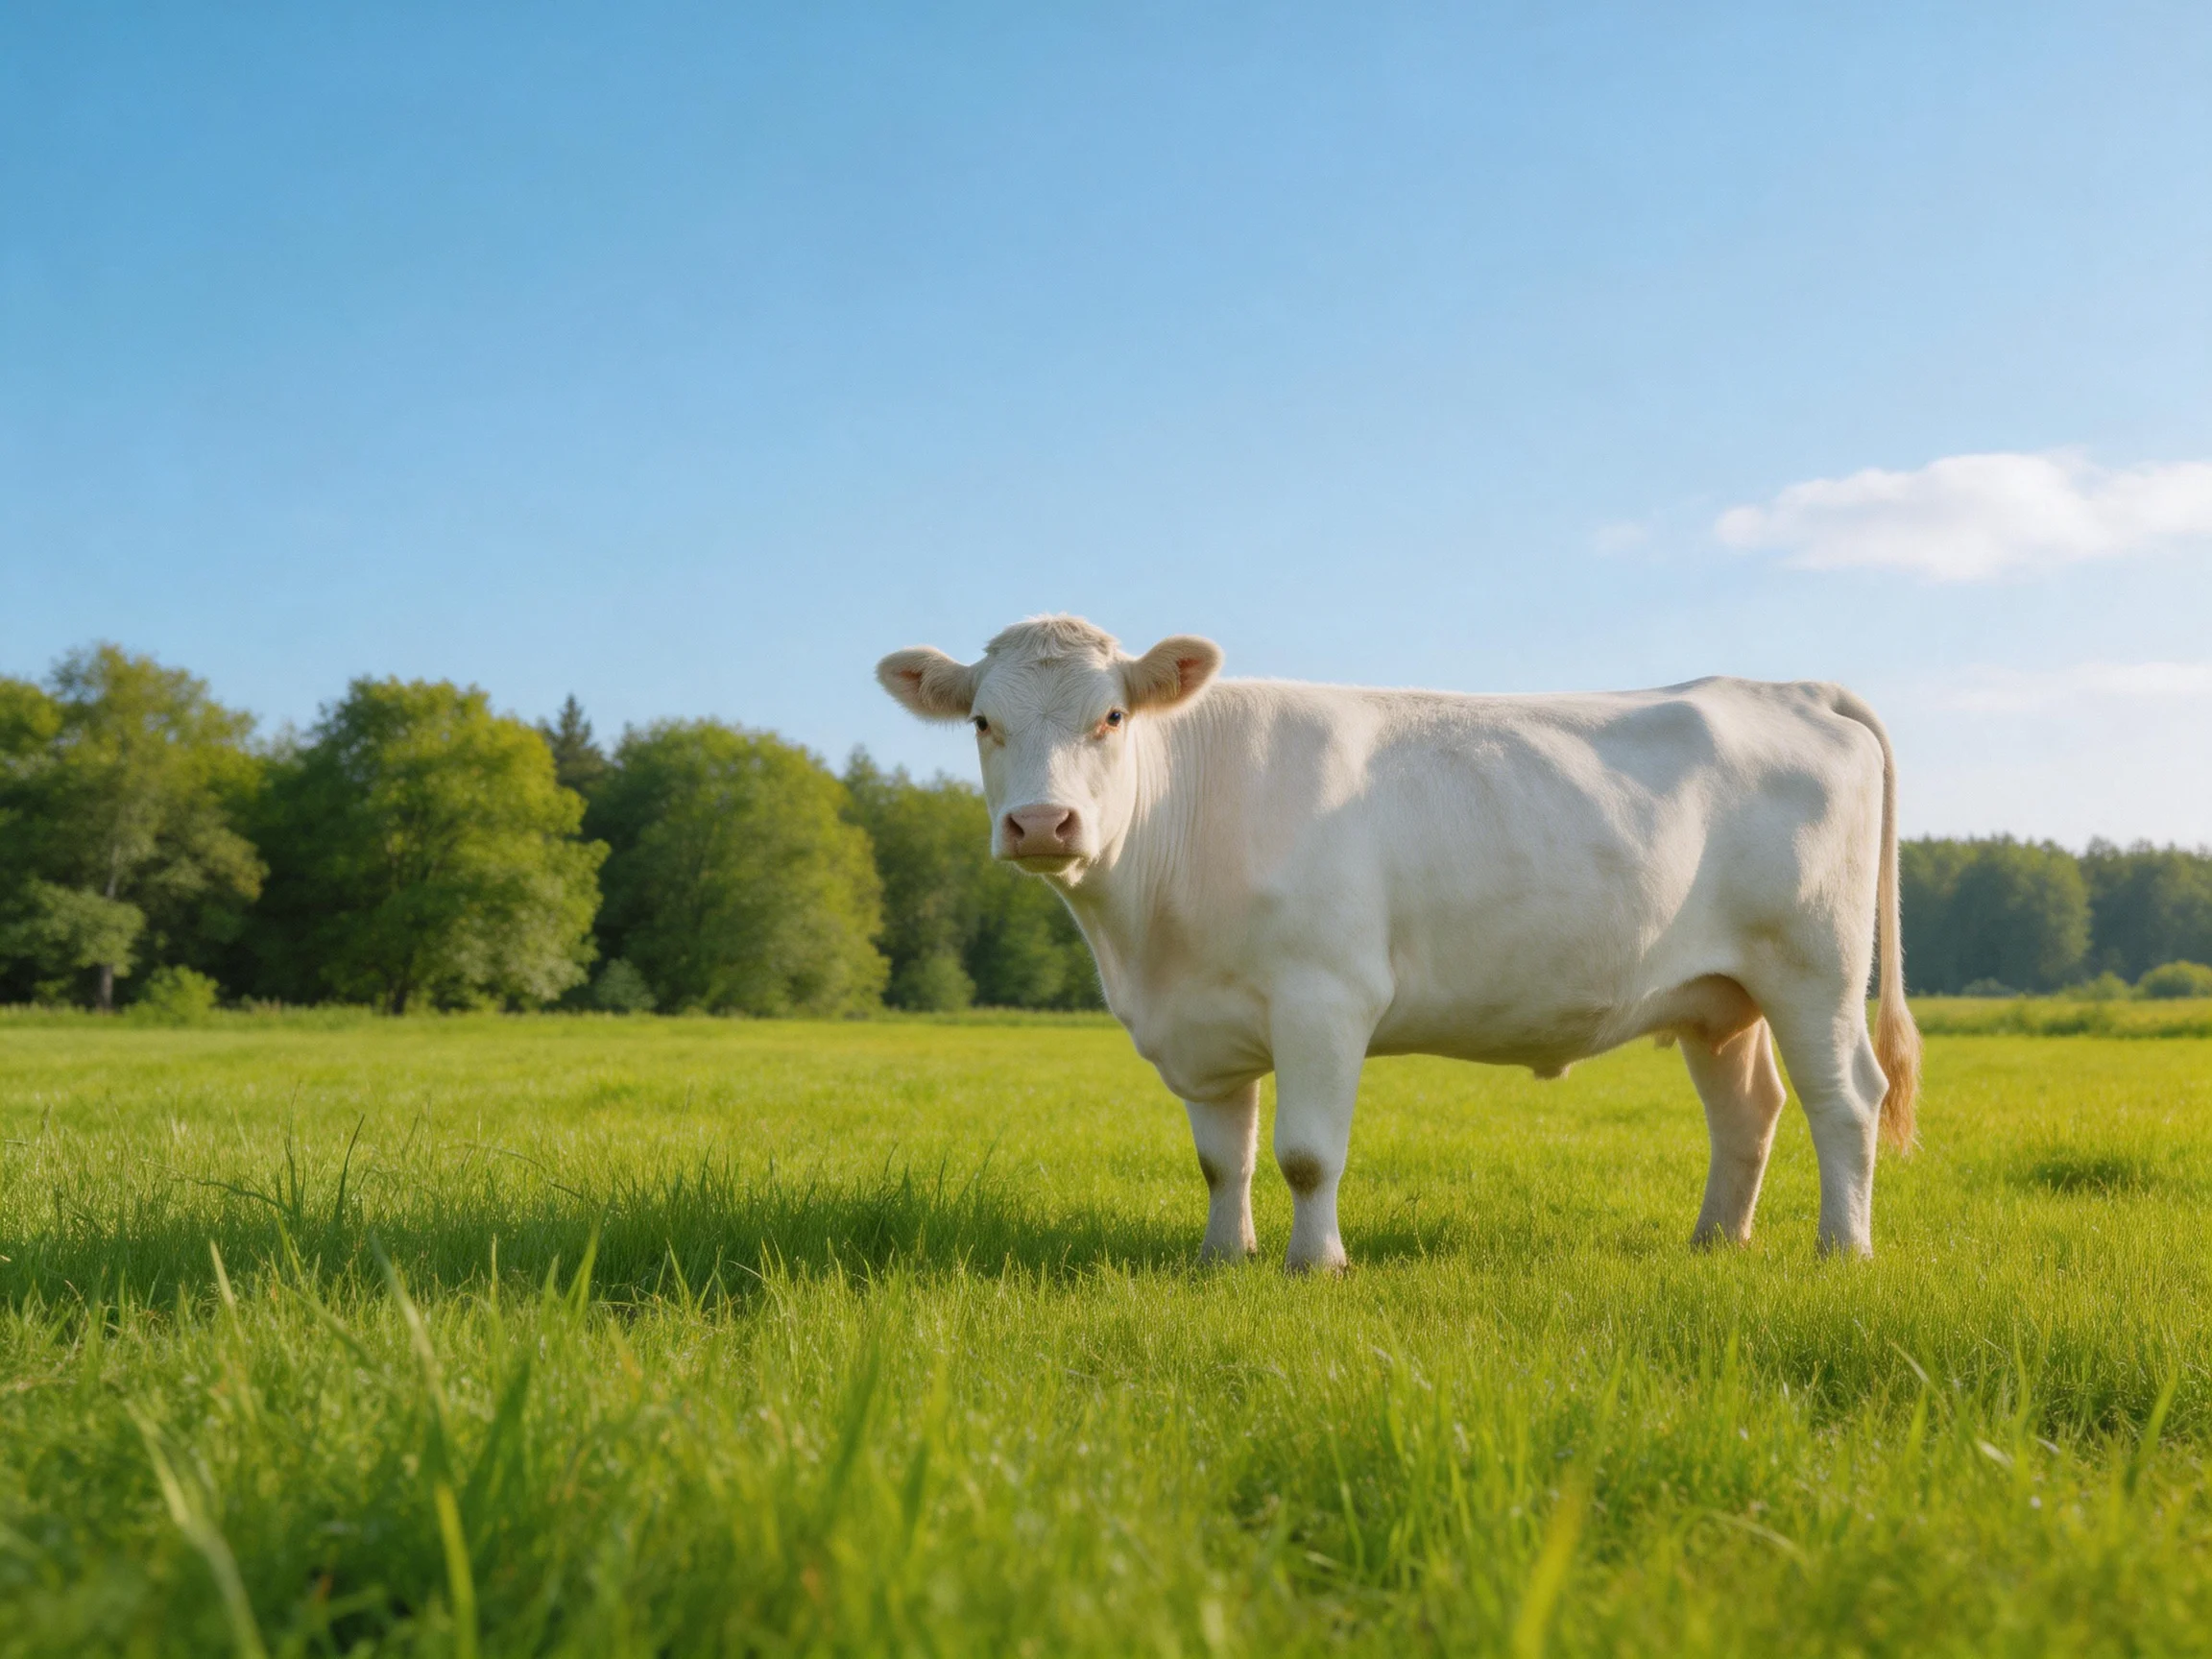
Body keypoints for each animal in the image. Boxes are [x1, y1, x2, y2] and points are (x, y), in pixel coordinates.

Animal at [877, 615, 1920, 1272]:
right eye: (983, 722)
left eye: (1112, 716)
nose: (1040, 824)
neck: (1151, 939)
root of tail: (1790, 688)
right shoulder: (1203, 1028)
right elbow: (1224, 1160)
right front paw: (1221, 1259)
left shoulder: (1324, 996)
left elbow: (1305, 1154)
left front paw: (1315, 1264)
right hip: (1719, 995)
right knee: (1749, 1110)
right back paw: (1716, 1241)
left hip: (1814, 969)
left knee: (1845, 1099)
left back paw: (1843, 1249)